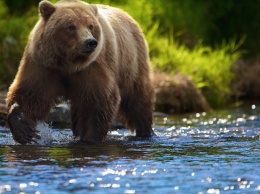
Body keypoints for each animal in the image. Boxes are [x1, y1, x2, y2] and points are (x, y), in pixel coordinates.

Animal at [5, 0, 154, 144]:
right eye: (71, 26)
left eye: (90, 26)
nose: (90, 42)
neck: (68, 64)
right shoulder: (44, 65)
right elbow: (31, 93)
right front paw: (24, 129)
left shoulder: (92, 67)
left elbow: (97, 101)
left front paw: (90, 137)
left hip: (132, 63)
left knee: (137, 99)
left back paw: (144, 132)